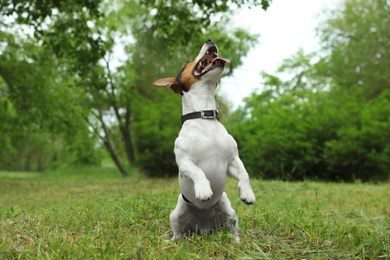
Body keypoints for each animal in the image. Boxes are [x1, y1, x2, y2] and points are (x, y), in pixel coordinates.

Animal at [152, 39, 256, 242]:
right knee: (178, 234)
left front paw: (247, 193)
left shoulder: (232, 160)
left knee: (233, 230)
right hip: (175, 215)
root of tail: (204, 227)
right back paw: (171, 242)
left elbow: (245, 173)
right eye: (188, 61)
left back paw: (236, 242)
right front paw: (203, 190)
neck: (204, 116)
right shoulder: (184, 162)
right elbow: (197, 171)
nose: (210, 40)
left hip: (230, 213)